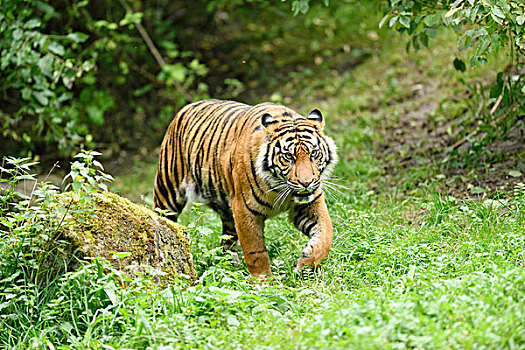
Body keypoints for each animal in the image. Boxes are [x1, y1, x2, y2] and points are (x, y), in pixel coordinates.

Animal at [154, 99, 338, 278]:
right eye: (288, 156)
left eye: (314, 153)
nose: (306, 182)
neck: (280, 188)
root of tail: (185, 108)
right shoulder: (244, 209)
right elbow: (255, 251)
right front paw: (263, 281)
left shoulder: (310, 203)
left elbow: (326, 235)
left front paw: (305, 265)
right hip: (167, 192)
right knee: (163, 219)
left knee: (227, 241)